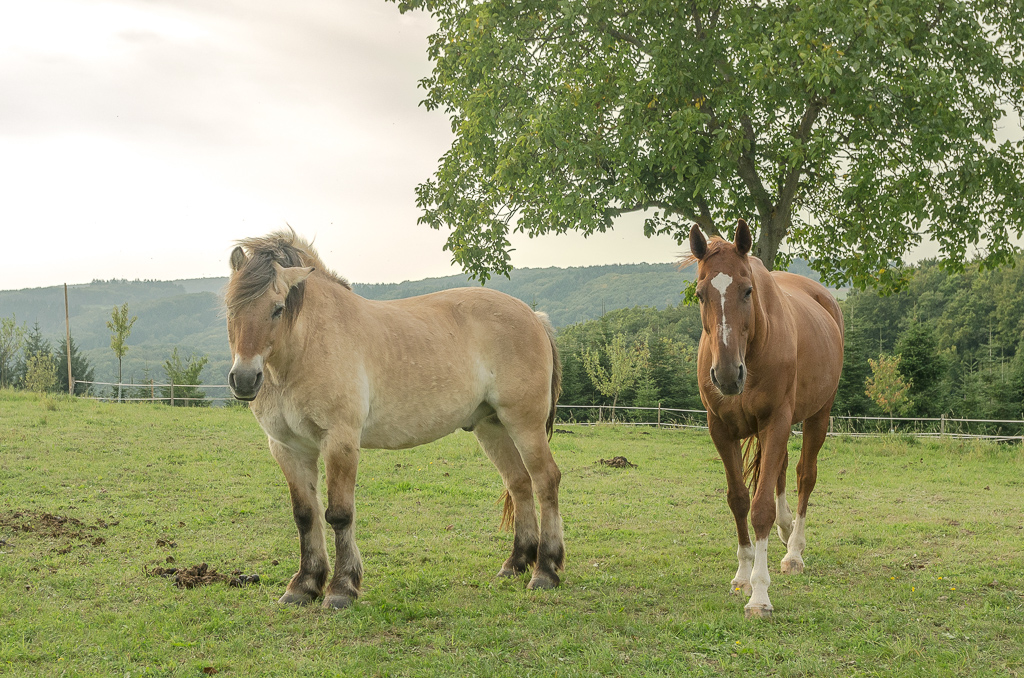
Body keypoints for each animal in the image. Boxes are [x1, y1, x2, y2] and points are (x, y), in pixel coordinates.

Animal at [224, 229, 564, 608]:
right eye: (231, 307)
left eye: (278, 308)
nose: (244, 379)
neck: (307, 345)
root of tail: (534, 316)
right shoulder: (287, 448)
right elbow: (305, 516)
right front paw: (304, 586)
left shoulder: (340, 441)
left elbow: (339, 514)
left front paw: (341, 589)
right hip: (492, 427)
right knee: (519, 484)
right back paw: (516, 563)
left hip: (524, 423)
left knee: (545, 480)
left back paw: (545, 571)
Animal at [683, 219, 844, 618]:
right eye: (700, 294)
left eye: (747, 290)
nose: (727, 375)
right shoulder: (720, 429)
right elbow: (739, 499)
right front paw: (743, 575)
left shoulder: (776, 422)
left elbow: (761, 508)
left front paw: (759, 594)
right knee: (783, 470)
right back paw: (785, 532)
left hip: (818, 415)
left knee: (804, 475)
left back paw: (794, 551)